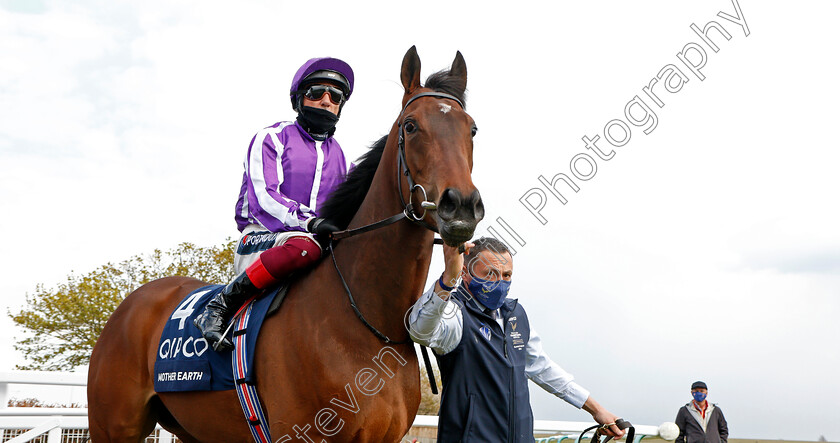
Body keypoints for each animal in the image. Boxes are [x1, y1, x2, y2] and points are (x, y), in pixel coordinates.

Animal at [88, 46, 482, 442]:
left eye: (472, 129)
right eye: (411, 125)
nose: (461, 205)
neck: (369, 321)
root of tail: (131, 302)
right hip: (113, 426)